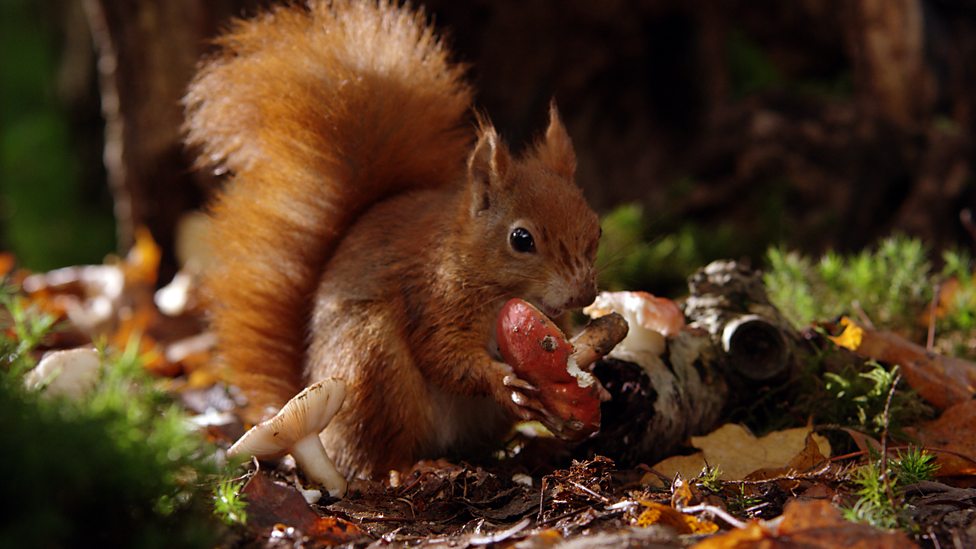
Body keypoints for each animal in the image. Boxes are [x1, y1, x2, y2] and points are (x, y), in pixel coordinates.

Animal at [184, 0, 601, 479]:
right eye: (521, 239)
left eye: (596, 229)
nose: (584, 295)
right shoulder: (433, 298)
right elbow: (444, 356)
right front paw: (501, 378)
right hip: (374, 367)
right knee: (378, 455)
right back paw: (417, 468)